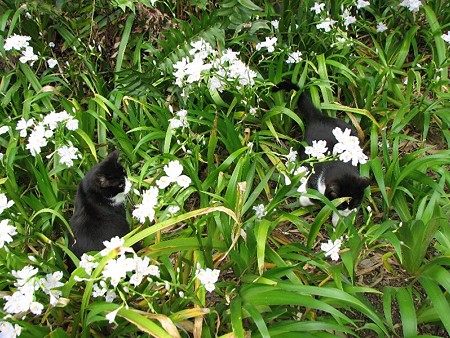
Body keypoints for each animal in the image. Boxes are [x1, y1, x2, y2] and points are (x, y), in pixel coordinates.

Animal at [274, 81, 370, 224]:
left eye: (355, 204)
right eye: (341, 205)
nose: (346, 212)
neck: (339, 166)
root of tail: (319, 116)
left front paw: (338, 221)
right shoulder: (316, 181)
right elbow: (312, 197)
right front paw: (305, 199)